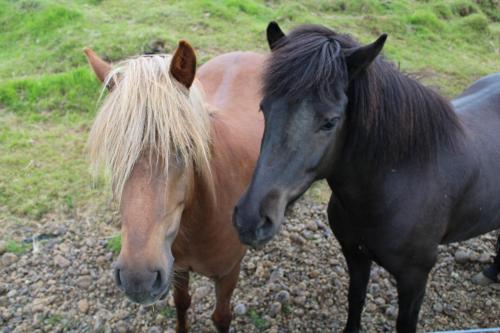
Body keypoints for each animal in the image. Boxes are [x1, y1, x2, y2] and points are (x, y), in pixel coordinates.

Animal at [85, 42, 266, 332]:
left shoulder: (228, 274)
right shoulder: (177, 268)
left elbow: (221, 317)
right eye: (114, 150)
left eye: (186, 148)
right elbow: (182, 303)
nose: (138, 279)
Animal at [234, 22, 500, 330]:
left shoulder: (414, 279)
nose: (250, 220)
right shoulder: (355, 254)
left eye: (330, 122)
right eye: (264, 108)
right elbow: (356, 299)